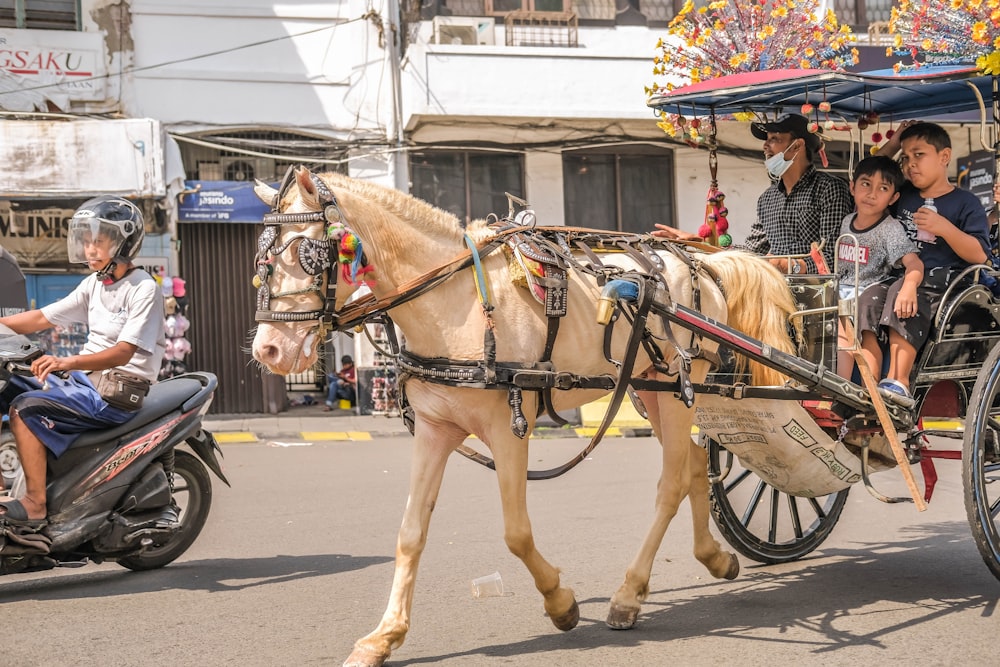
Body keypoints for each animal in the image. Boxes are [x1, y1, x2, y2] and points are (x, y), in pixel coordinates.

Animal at [252, 167, 804, 667]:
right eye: (261, 262)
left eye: (306, 253)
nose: (269, 350)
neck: (456, 305)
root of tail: (701, 262)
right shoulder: (435, 429)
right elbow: (410, 533)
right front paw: (383, 637)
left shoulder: (509, 427)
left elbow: (516, 532)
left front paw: (560, 603)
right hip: (649, 385)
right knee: (691, 461)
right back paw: (714, 557)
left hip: (678, 385)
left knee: (671, 480)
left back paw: (629, 594)